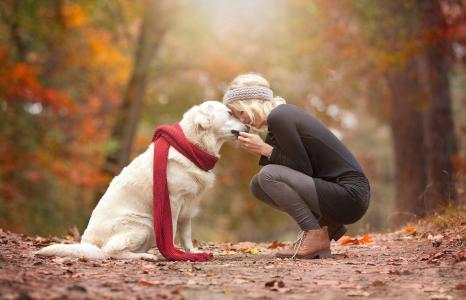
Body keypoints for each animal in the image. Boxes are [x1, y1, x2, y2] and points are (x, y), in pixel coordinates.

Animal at [36, 101, 248, 260]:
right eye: (229, 113)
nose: (248, 125)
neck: (191, 146)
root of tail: (88, 243)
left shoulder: (188, 206)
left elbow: (186, 234)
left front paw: (192, 252)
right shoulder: (172, 202)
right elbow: (171, 231)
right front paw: (173, 253)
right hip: (144, 225)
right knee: (110, 252)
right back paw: (145, 256)